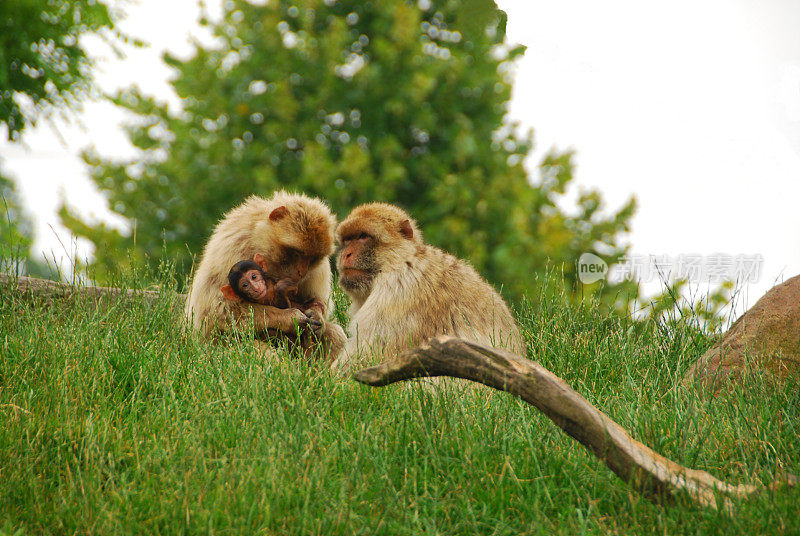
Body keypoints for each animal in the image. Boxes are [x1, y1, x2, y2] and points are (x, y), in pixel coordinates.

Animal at [184, 188, 346, 360]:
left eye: (311, 258)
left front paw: (315, 314)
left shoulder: (318, 269)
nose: (301, 272)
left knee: (333, 333)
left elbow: (319, 303)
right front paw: (291, 318)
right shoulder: (234, 249)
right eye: (297, 253)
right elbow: (218, 313)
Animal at [332, 201, 524, 368]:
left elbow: (368, 357)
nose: (346, 254)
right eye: (347, 240)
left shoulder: (396, 291)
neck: (400, 260)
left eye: (363, 236)